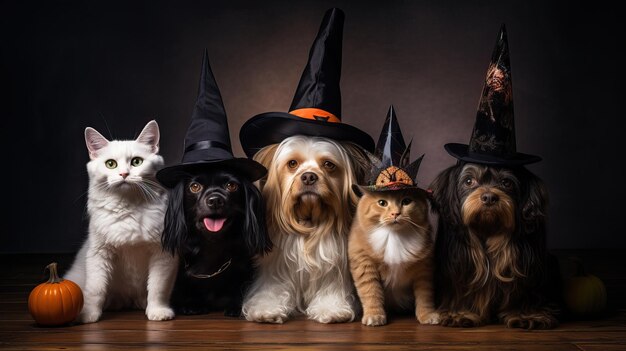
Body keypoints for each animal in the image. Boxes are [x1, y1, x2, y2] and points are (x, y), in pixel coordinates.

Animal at [65, 121, 177, 324]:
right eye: (111, 164)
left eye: (137, 162)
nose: (124, 174)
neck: (129, 206)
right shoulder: (99, 254)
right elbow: (95, 289)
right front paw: (88, 315)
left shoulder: (163, 254)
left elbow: (158, 288)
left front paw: (158, 311)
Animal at [161, 168, 270, 316]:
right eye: (194, 187)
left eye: (231, 185)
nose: (215, 201)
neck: (212, 248)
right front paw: (190, 304)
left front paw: (237, 306)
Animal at [239, 135, 366, 324]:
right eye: (292, 163)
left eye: (328, 164)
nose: (308, 177)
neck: (308, 223)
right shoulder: (275, 267)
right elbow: (272, 288)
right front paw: (267, 308)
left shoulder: (332, 266)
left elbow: (331, 287)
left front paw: (331, 308)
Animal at [346, 187, 438, 328]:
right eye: (382, 203)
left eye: (406, 201)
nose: (395, 214)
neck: (393, 235)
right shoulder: (365, 264)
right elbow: (371, 293)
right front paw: (374, 316)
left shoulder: (424, 270)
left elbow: (425, 296)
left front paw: (427, 315)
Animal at [428, 162, 560, 330]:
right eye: (469, 181)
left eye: (506, 182)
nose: (489, 198)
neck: (488, 228)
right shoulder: (457, 264)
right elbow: (458, 288)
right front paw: (459, 313)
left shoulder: (529, 266)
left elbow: (525, 291)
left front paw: (527, 315)